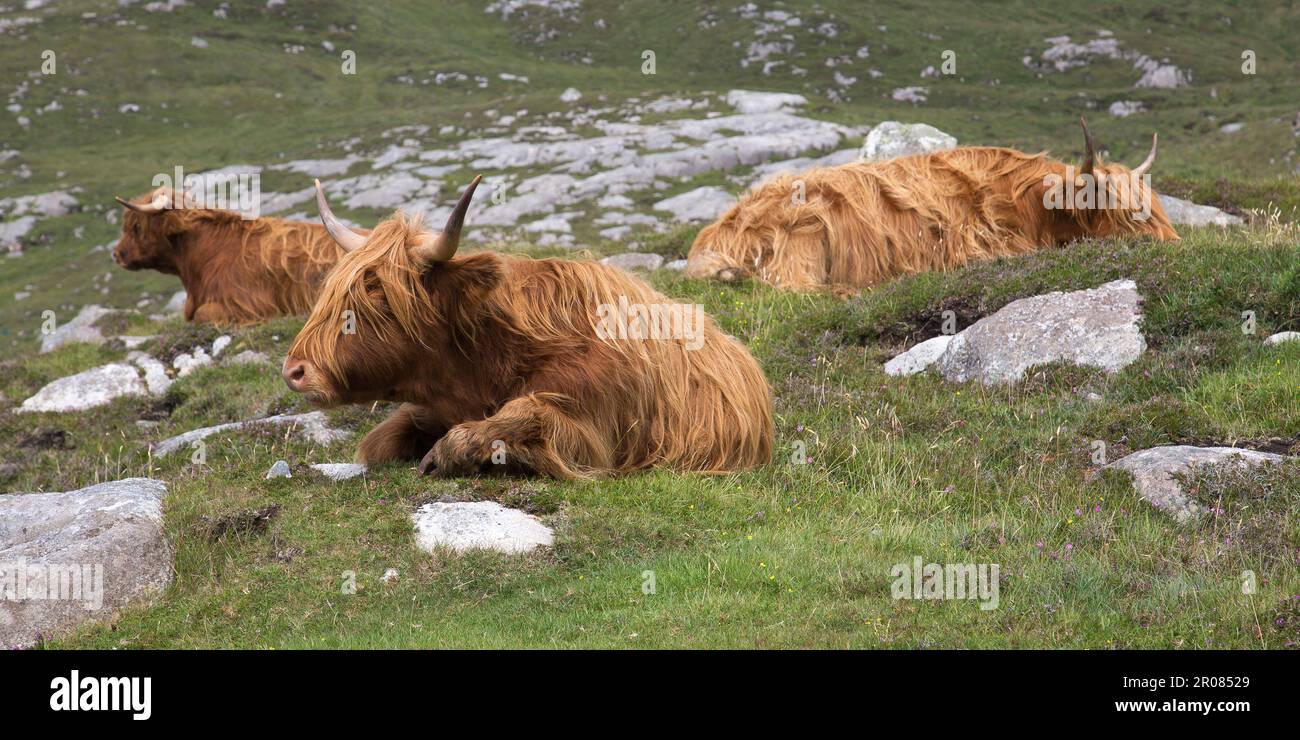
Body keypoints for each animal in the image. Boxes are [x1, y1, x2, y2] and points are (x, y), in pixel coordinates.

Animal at [282, 178, 769, 478]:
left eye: (378, 299)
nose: (294, 371)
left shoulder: (591, 430)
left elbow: (523, 413)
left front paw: (459, 452)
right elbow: (378, 440)